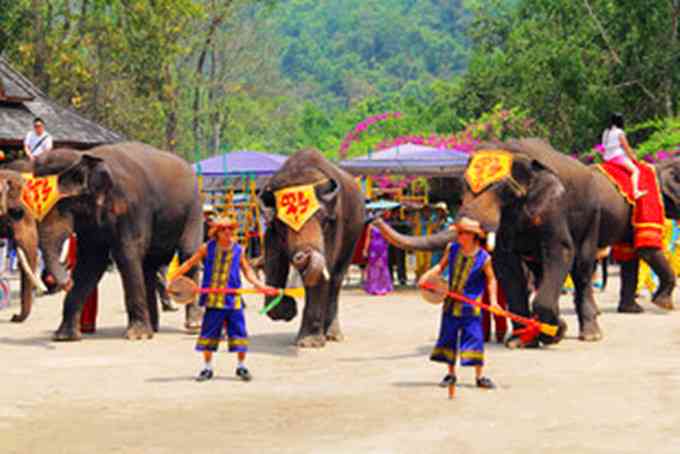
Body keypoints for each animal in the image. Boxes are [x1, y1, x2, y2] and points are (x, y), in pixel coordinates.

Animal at [32, 142, 202, 340]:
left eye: (64, 204)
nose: (67, 282)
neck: (85, 154)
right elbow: (91, 261)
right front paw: (65, 337)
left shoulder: (132, 207)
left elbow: (126, 254)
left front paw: (137, 336)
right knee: (148, 266)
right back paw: (153, 328)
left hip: (194, 208)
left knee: (187, 252)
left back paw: (192, 326)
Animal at [258, 149, 366, 348]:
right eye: (283, 225)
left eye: (324, 220)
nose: (302, 255)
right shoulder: (271, 230)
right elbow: (274, 260)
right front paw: (287, 310)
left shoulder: (336, 224)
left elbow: (324, 272)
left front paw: (309, 343)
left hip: (354, 232)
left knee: (336, 278)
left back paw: (332, 335)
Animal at [374, 138, 676, 348]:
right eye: (462, 187)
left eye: (503, 190)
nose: (375, 218)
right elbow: (506, 266)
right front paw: (523, 340)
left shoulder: (554, 205)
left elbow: (560, 251)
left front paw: (553, 331)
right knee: (545, 270)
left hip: (593, 216)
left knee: (581, 268)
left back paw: (590, 335)